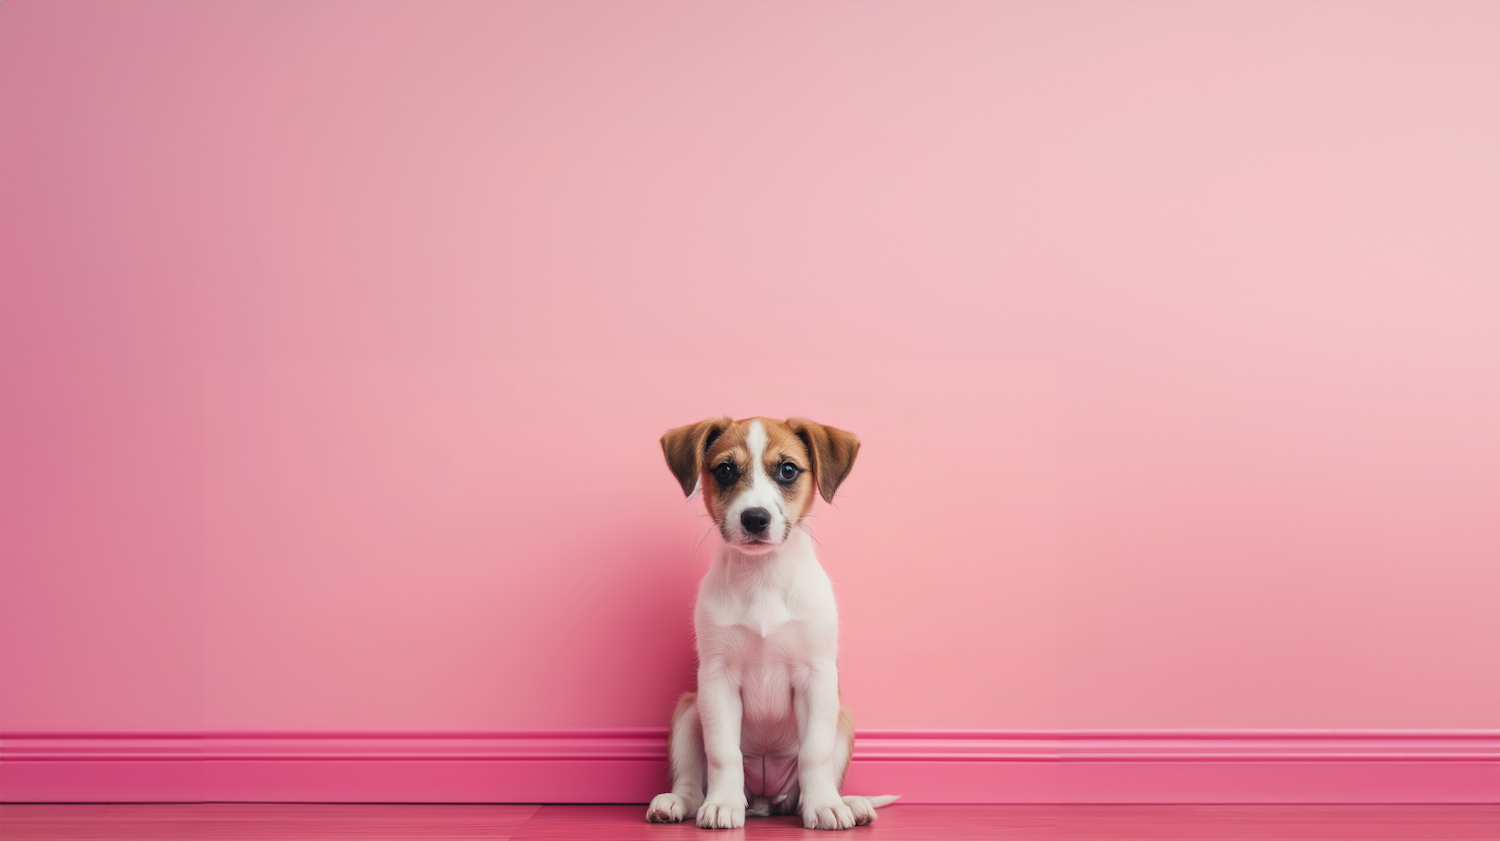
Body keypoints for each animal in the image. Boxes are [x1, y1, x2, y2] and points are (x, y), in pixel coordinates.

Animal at [648, 416, 900, 827]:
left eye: (787, 470)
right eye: (725, 470)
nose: (755, 518)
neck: (763, 577)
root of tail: (766, 800)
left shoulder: (818, 677)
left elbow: (816, 753)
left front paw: (825, 806)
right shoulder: (716, 678)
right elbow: (723, 752)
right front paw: (723, 803)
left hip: (842, 719)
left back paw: (848, 802)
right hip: (688, 710)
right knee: (691, 782)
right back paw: (678, 802)